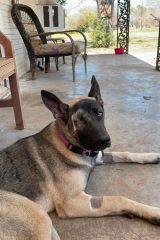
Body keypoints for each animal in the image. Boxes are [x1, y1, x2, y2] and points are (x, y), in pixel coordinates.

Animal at [0, 75, 160, 240]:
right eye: (81, 120)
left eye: (100, 113)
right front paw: (154, 212)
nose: (106, 140)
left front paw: (151, 156)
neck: (67, 142)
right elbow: (118, 199)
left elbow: (124, 153)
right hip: (39, 217)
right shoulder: (73, 202)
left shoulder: (99, 156)